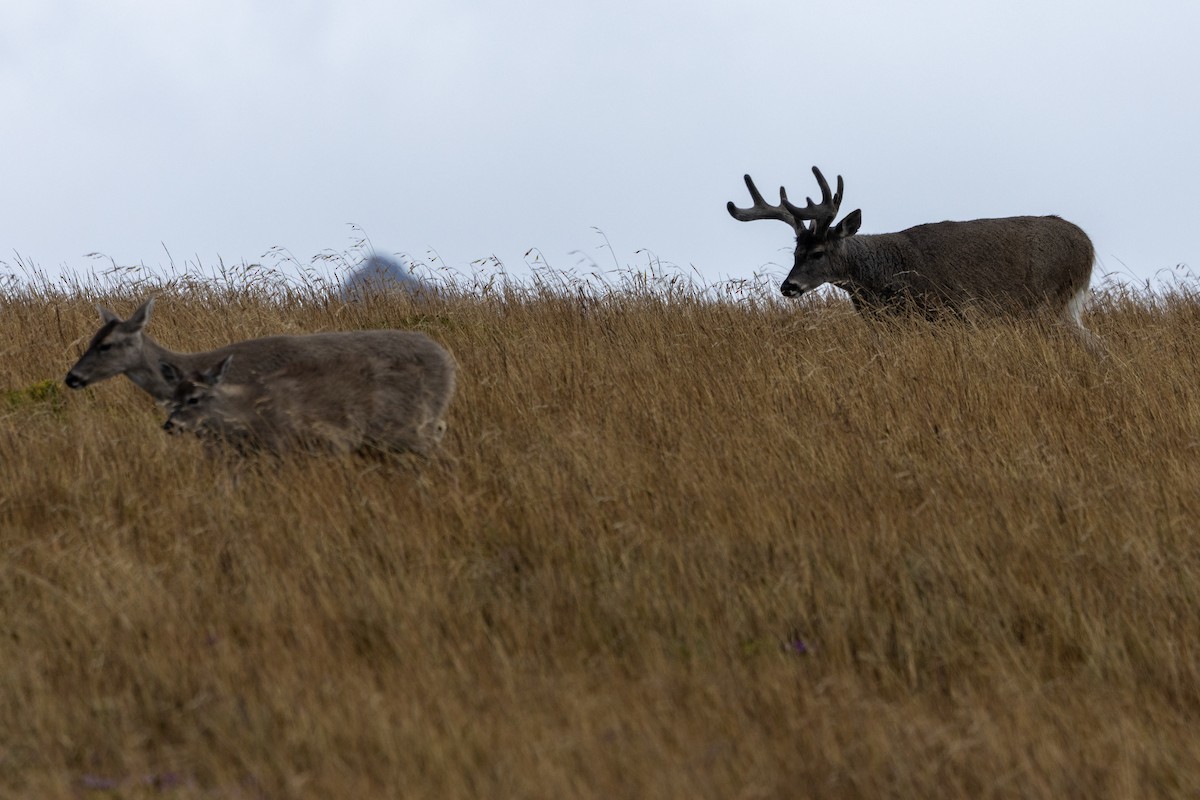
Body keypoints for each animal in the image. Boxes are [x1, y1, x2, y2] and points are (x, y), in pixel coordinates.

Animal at [727, 166, 1097, 343]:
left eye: (817, 253)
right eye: (795, 252)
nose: (788, 286)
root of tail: (1087, 245)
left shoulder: (949, 312)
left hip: (1048, 300)